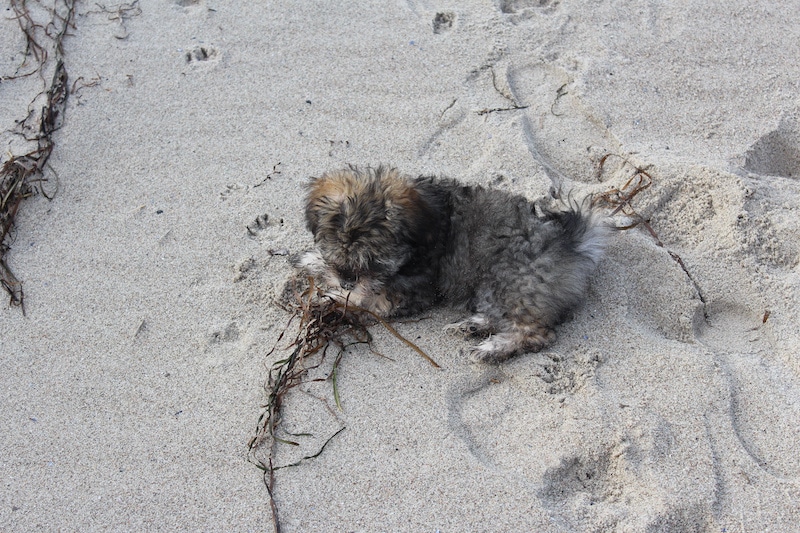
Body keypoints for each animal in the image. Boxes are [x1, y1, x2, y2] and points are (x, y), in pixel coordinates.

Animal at [294, 165, 608, 362]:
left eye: (373, 261)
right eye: (335, 250)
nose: (347, 280)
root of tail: (569, 242)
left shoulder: (409, 291)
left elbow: (366, 301)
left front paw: (331, 298)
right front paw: (312, 261)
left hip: (508, 280)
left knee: (534, 332)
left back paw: (491, 349)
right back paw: (471, 326)